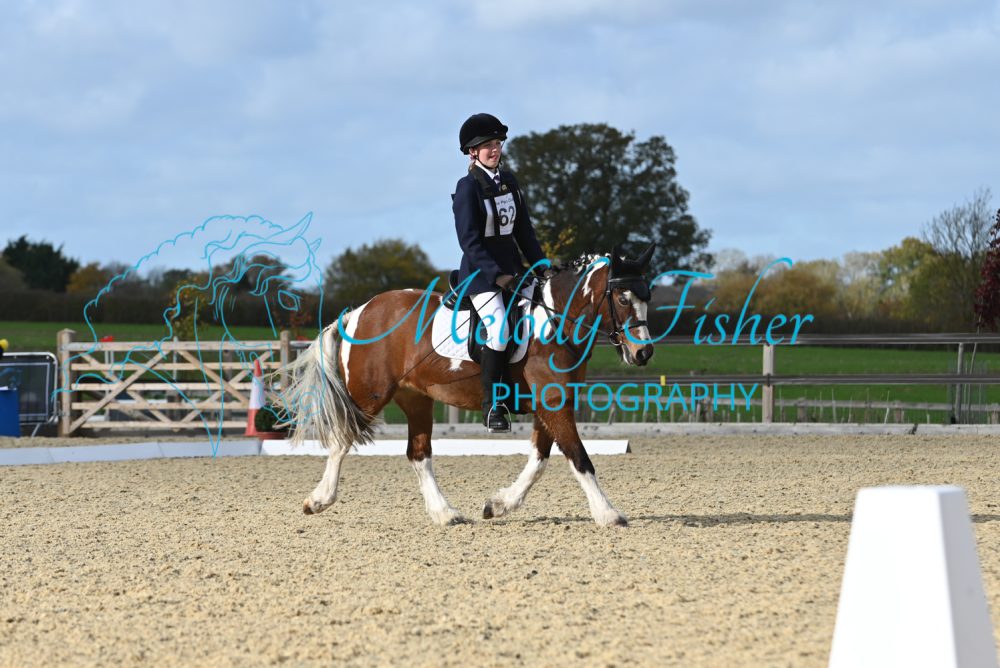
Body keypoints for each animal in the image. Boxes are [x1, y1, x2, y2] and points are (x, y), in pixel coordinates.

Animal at [283, 244, 656, 526]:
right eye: (623, 299)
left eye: (647, 298)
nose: (643, 353)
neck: (555, 320)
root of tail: (359, 311)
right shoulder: (553, 402)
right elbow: (579, 457)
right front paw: (608, 513)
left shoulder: (549, 404)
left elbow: (539, 460)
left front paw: (499, 504)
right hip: (370, 395)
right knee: (341, 441)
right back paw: (319, 500)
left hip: (416, 399)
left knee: (418, 454)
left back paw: (446, 514)